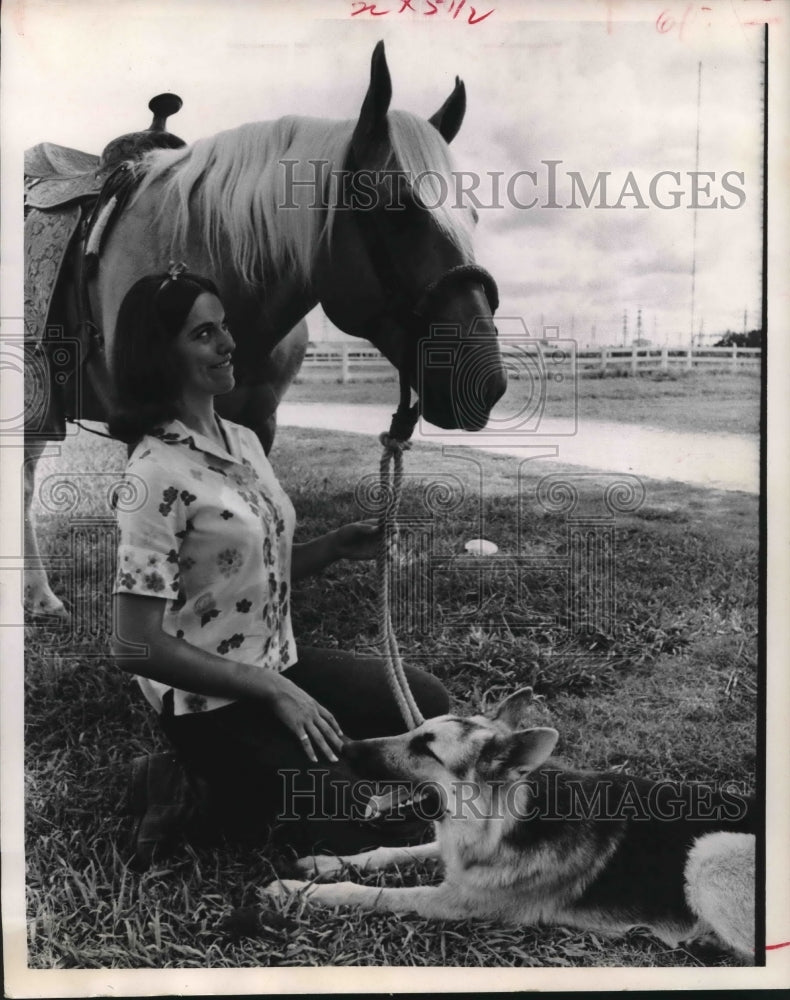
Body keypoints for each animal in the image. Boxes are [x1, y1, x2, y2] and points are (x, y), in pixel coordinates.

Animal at [268, 688, 760, 960]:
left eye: (426, 748)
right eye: (414, 732)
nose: (344, 748)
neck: (507, 818)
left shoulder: (455, 902)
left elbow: (373, 894)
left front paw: (298, 890)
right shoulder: (456, 853)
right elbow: (392, 851)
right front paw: (323, 864)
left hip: (708, 853)